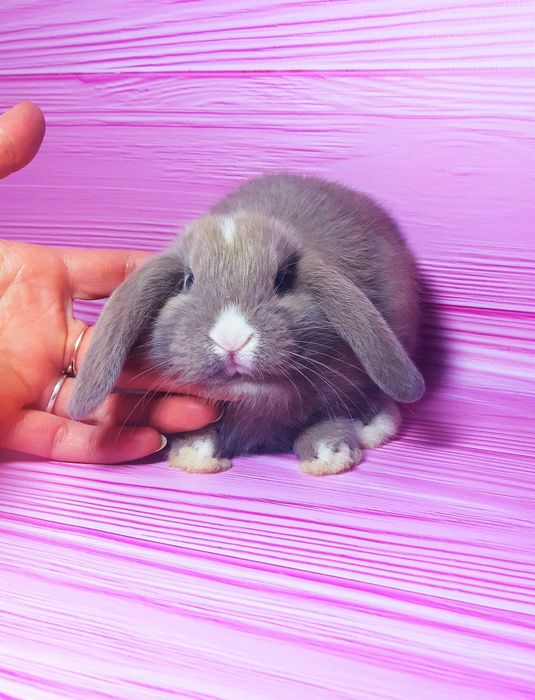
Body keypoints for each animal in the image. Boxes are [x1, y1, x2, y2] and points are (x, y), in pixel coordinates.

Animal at [68, 173, 424, 476]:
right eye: (187, 281)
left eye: (283, 280)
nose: (232, 340)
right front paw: (195, 451)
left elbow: (327, 419)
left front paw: (329, 454)